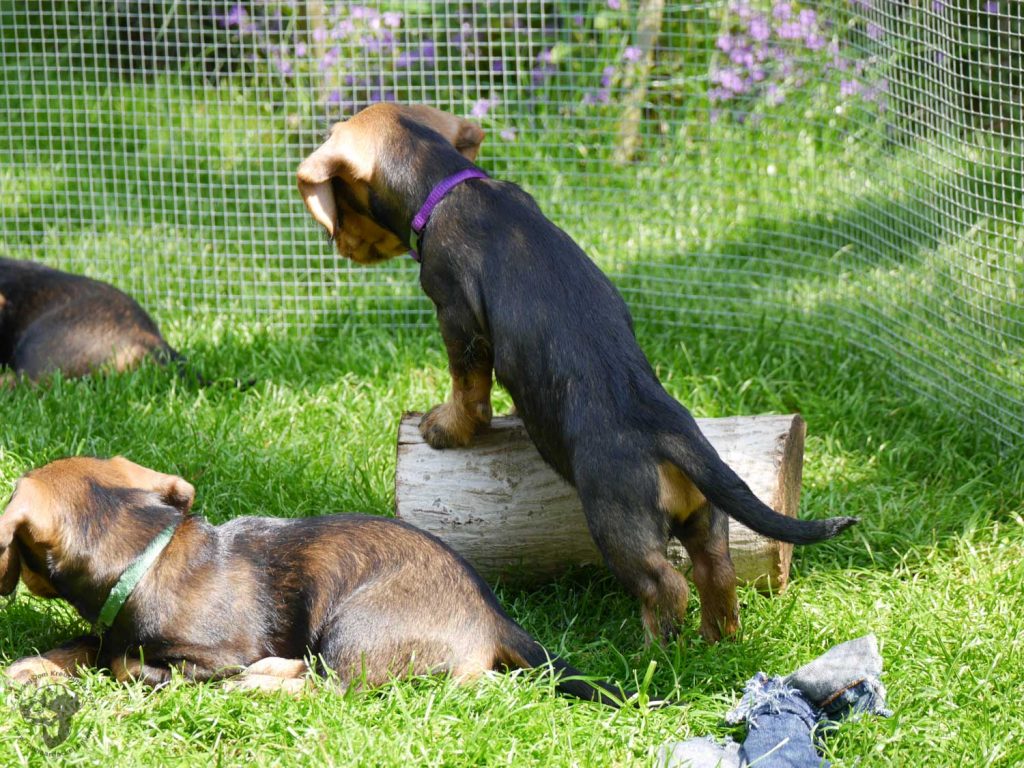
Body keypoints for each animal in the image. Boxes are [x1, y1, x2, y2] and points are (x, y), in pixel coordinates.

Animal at [0, 456, 626, 708]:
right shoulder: (114, 627)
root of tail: (494, 615)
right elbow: (92, 642)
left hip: (356, 624)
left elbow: (125, 663)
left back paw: (260, 680)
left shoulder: (216, 654)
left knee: (333, 688)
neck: (144, 556)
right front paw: (35, 666)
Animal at [296, 100, 856, 643]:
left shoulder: (456, 315)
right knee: (715, 568)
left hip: (617, 520)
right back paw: (718, 640)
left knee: (664, 584)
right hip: (705, 513)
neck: (451, 184)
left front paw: (445, 427)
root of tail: (671, 435)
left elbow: (467, 386)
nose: (339, 247)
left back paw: (654, 653)